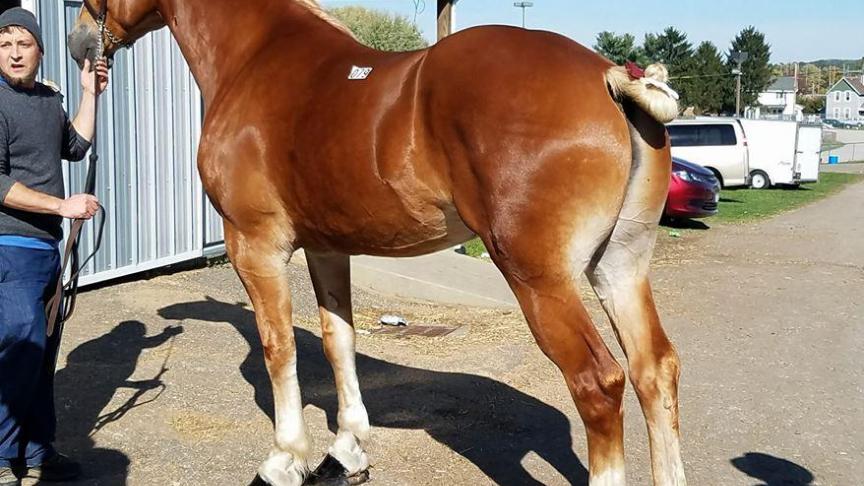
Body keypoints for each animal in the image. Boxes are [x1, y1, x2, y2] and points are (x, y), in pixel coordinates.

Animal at [68, 1, 686, 485]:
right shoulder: (326, 247)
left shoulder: (255, 244)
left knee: (598, 384)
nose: (78, 42)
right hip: (619, 267)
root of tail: (610, 77)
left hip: (539, 278)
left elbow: (278, 348)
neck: (258, 57)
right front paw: (345, 453)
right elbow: (337, 340)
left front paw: (285, 459)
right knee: (654, 370)